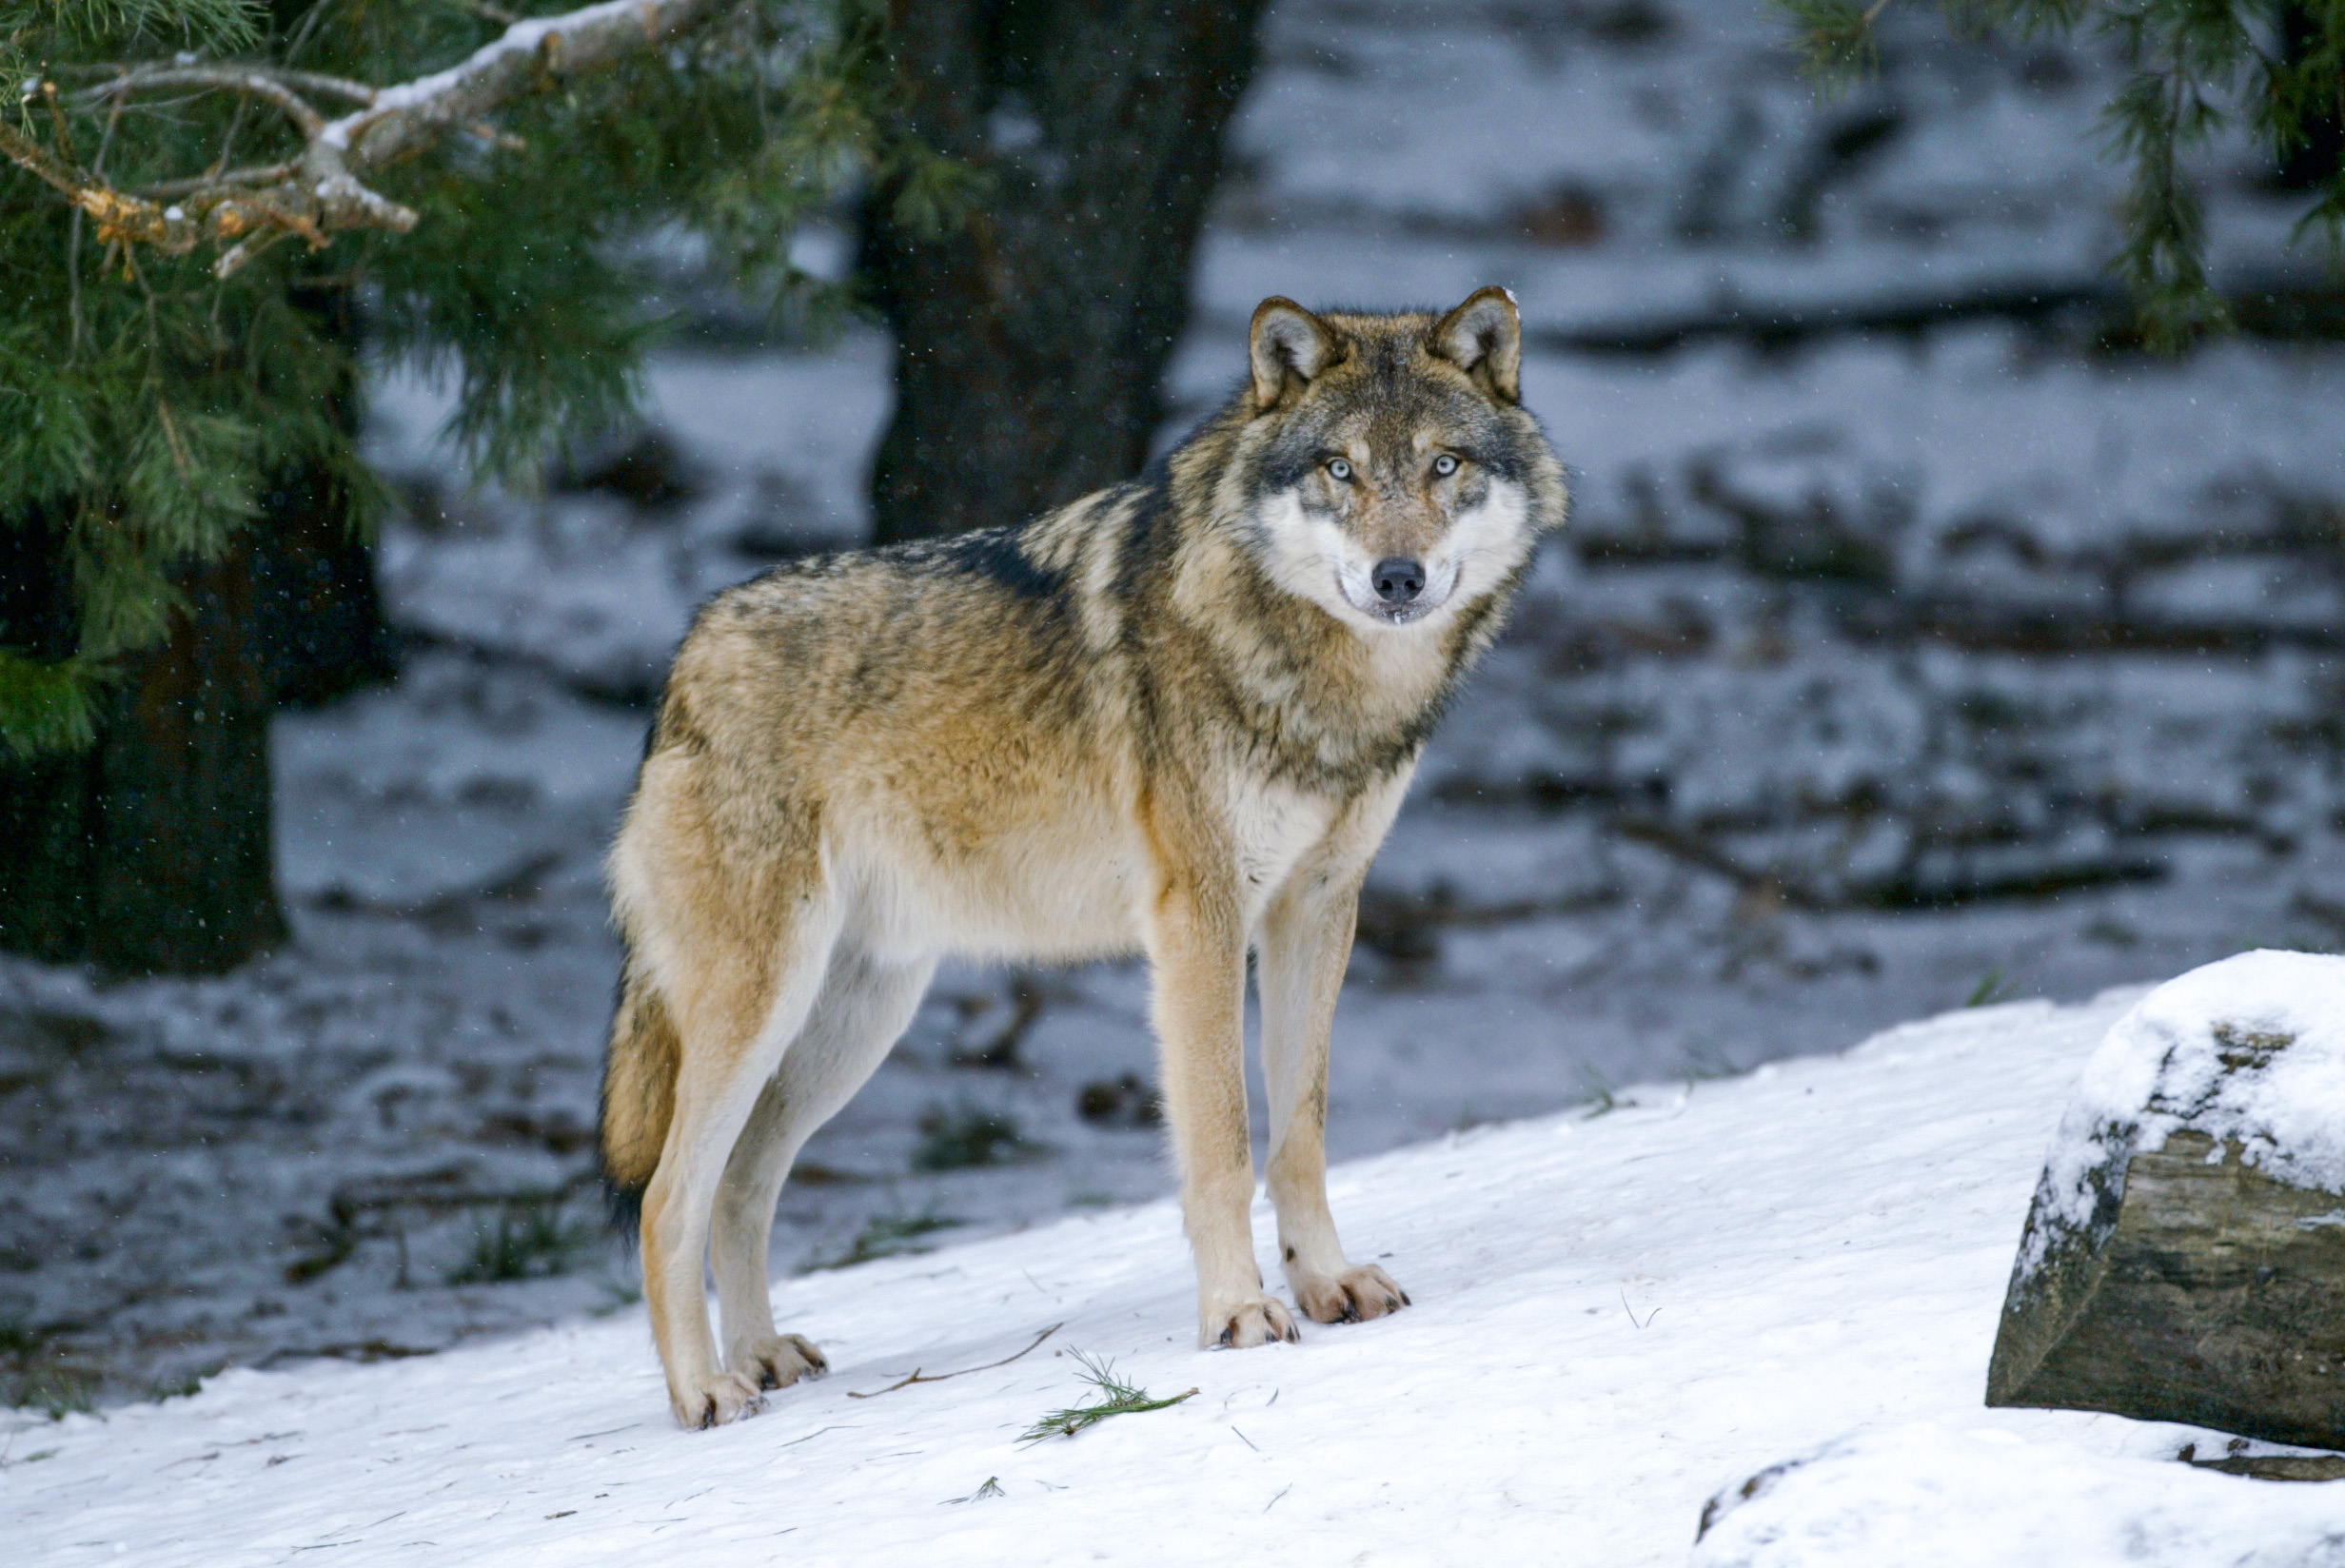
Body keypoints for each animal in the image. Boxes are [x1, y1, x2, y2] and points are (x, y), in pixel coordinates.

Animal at [599, 288, 1568, 1428]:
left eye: (1442, 465)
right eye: (1339, 468)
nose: (1397, 577)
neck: (1320, 681)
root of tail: (683, 664)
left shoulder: (1319, 906)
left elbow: (1300, 1133)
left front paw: (1327, 1284)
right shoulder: (1201, 919)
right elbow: (1222, 1142)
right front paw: (1239, 1315)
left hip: (851, 1023)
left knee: (743, 1186)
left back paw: (762, 1359)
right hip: (764, 1005)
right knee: (668, 1197)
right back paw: (705, 1391)